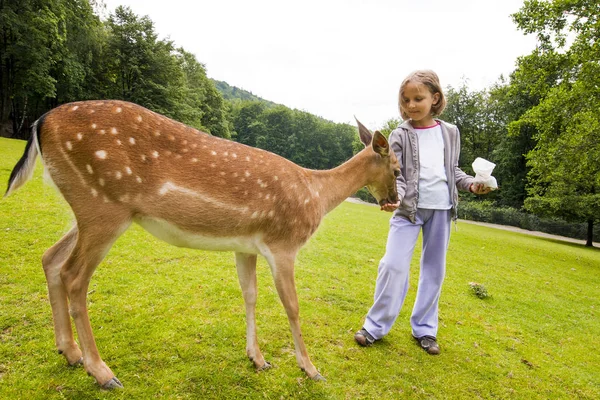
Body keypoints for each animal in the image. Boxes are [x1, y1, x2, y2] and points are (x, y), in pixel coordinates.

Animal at [5, 99, 398, 388]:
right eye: (396, 167)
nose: (392, 201)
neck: (316, 196)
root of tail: (40, 123)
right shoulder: (283, 243)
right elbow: (293, 306)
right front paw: (311, 369)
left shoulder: (247, 246)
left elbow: (250, 294)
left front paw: (258, 359)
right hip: (103, 206)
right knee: (74, 276)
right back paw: (102, 372)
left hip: (87, 209)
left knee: (50, 258)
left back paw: (70, 353)